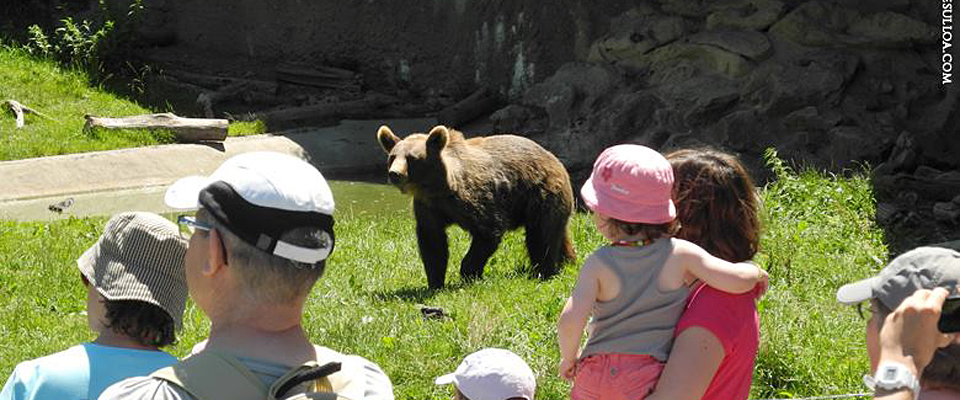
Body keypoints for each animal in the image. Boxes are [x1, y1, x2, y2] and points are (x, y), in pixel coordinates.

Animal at [376, 125, 572, 288]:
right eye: (392, 157)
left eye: (412, 158)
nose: (394, 174)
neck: (440, 188)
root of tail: (554, 158)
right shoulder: (428, 207)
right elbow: (433, 242)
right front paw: (435, 281)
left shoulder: (477, 200)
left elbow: (488, 232)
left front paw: (469, 273)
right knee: (556, 234)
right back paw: (567, 261)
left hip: (540, 194)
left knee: (541, 236)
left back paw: (543, 271)